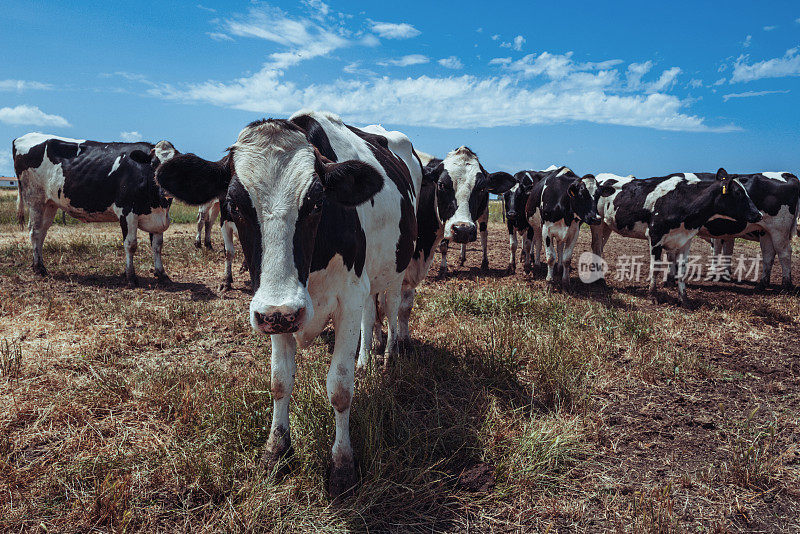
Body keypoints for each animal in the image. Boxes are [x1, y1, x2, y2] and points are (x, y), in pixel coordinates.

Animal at [12, 133, 176, 288]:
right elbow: (131, 245)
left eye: (176, 168)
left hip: (50, 203)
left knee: (42, 232)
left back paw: (39, 266)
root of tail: (21, 138)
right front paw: (130, 277)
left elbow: (157, 246)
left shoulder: (158, 218)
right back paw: (39, 268)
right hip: (35, 199)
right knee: (35, 232)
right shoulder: (127, 212)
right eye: (154, 164)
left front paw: (162, 274)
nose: (166, 190)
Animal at [152, 112, 422, 498]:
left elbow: (340, 389)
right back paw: (367, 360)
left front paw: (342, 464)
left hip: (398, 265)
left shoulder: (346, 301)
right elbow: (280, 381)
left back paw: (391, 355)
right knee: (372, 315)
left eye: (317, 203)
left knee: (395, 304)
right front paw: (277, 450)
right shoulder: (275, 312)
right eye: (234, 205)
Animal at [428, 148, 516, 276]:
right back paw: (462, 258)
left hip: (484, 213)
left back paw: (484, 263)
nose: (463, 230)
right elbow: (443, 245)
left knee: (484, 236)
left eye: (482, 188)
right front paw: (443, 268)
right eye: (441, 185)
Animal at [592, 170, 764, 308]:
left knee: (599, 248)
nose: (759, 215)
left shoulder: (685, 240)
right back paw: (600, 280)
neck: (680, 202)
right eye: (738, 193)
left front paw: (684, 299)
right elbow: (655, 268)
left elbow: (682, 269)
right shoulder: (655, 236)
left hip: (607, 226)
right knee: (596, 247)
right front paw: (652, 296)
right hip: (598, 224)